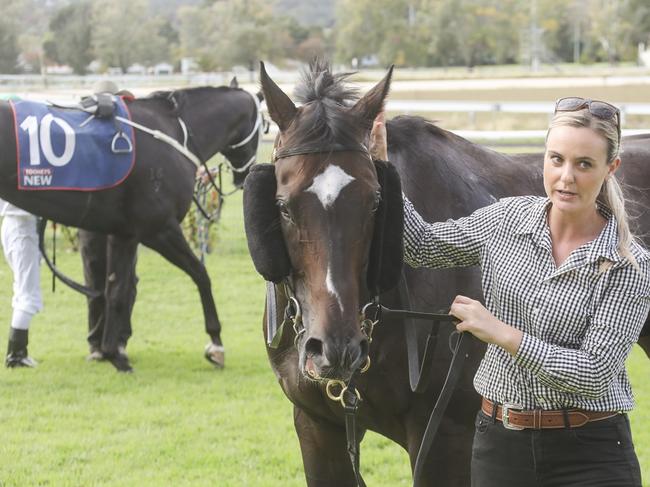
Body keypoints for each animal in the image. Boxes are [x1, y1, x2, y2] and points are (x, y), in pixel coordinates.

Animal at [1, 86, 264, 372]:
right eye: (264, 126)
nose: (246, 176)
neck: (174, 131)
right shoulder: (159, 229)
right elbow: (200, 274)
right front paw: (216, 344)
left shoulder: (124, 233)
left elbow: (116, 290)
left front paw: (113, 354)